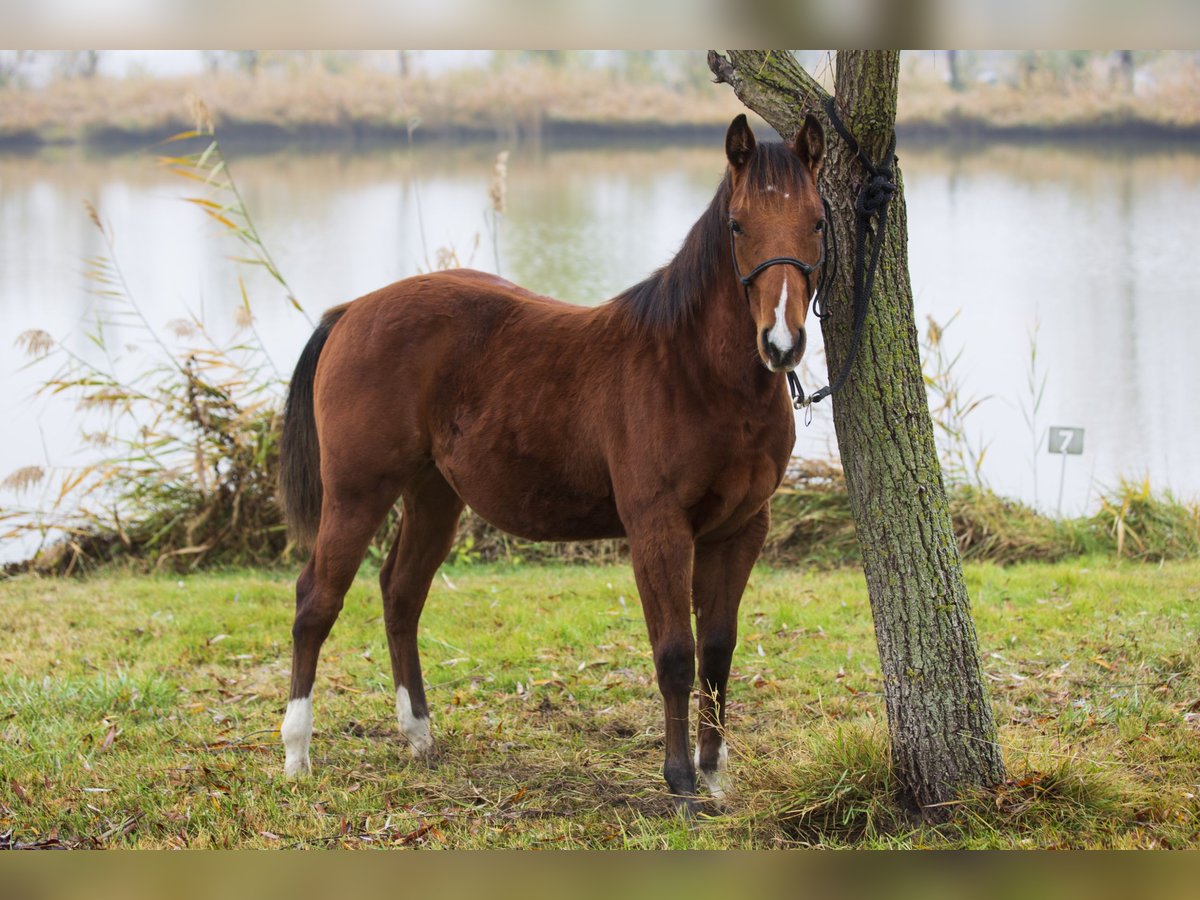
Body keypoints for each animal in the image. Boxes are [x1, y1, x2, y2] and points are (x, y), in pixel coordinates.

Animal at [277, 113, 828, 813]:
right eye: (737, 224)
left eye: (817, 221)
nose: (782, 344)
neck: (693, 369)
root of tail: (351, 311)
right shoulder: (658, 527)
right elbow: (676, 653)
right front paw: (679, 781)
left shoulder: (740, 529)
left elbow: (718, 652)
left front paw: (714, 775)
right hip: (357, 491)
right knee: (316, 600)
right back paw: (297, 752)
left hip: (434, 495)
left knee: (400, 594)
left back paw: (420, 736)